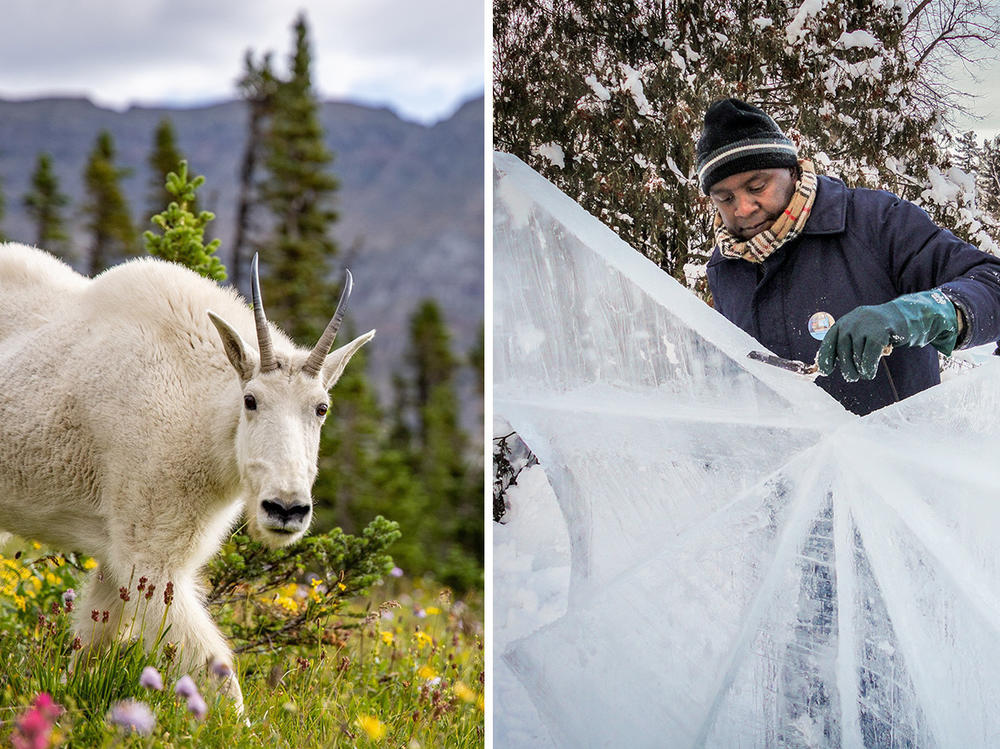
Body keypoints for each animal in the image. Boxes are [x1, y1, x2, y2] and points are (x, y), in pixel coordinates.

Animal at [0, 244, 376, 708]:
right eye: (250, 400)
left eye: (321, 407)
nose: (286, 508)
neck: (200, 414)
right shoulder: (151, 554)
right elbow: (216, 669)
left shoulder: (117, 555)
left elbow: (90, 644)